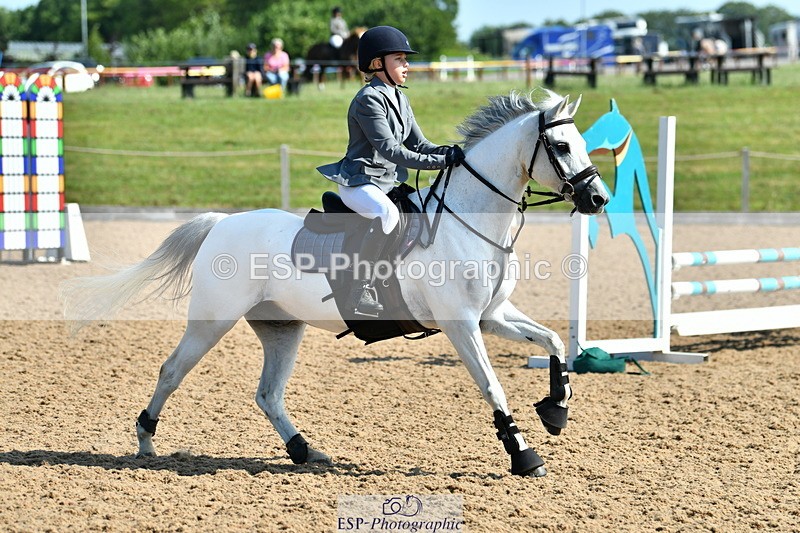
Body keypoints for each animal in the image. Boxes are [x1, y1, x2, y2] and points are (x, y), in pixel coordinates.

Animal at [62, 90, 610, 477]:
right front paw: (524, 455)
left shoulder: (492, 316)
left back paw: (305, 451)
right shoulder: (462, 325)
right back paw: (146, 440)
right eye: (562, 146)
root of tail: (222, 222)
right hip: (211, 321)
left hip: (282, 328)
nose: (598, 199)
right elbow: (493, 386)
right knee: (172, 370)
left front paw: (556, 410)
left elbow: (554, 340)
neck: (467, 220)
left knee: (268, 394)